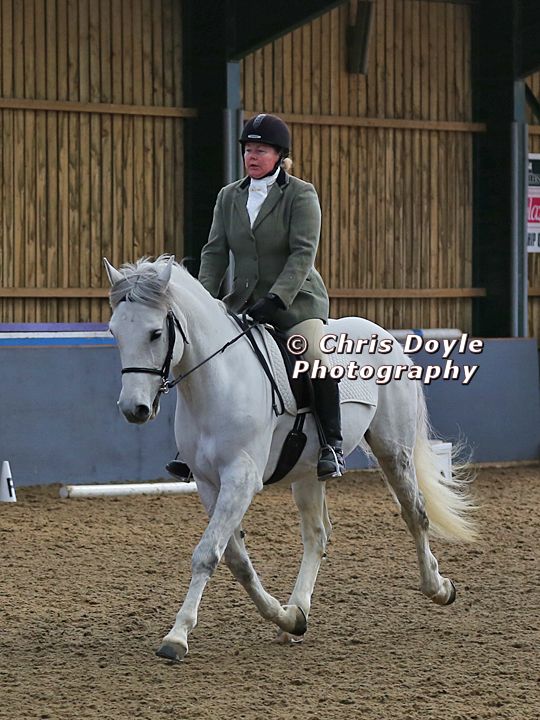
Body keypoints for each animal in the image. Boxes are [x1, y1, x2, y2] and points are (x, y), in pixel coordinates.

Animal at [104, 254, 476, 662]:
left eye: (156, 333)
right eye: (114, 333)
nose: (134, 409)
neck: (217, 382)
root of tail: (382, 333)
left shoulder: (241, 478)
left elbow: (207, 554)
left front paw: (177, 637)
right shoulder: (209, 483)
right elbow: (236, 560)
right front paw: (285, 617)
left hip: (393, 450)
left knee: (415, 513)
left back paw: (438, 588)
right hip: (308, 472)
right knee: (317, 536)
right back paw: (297, 611)